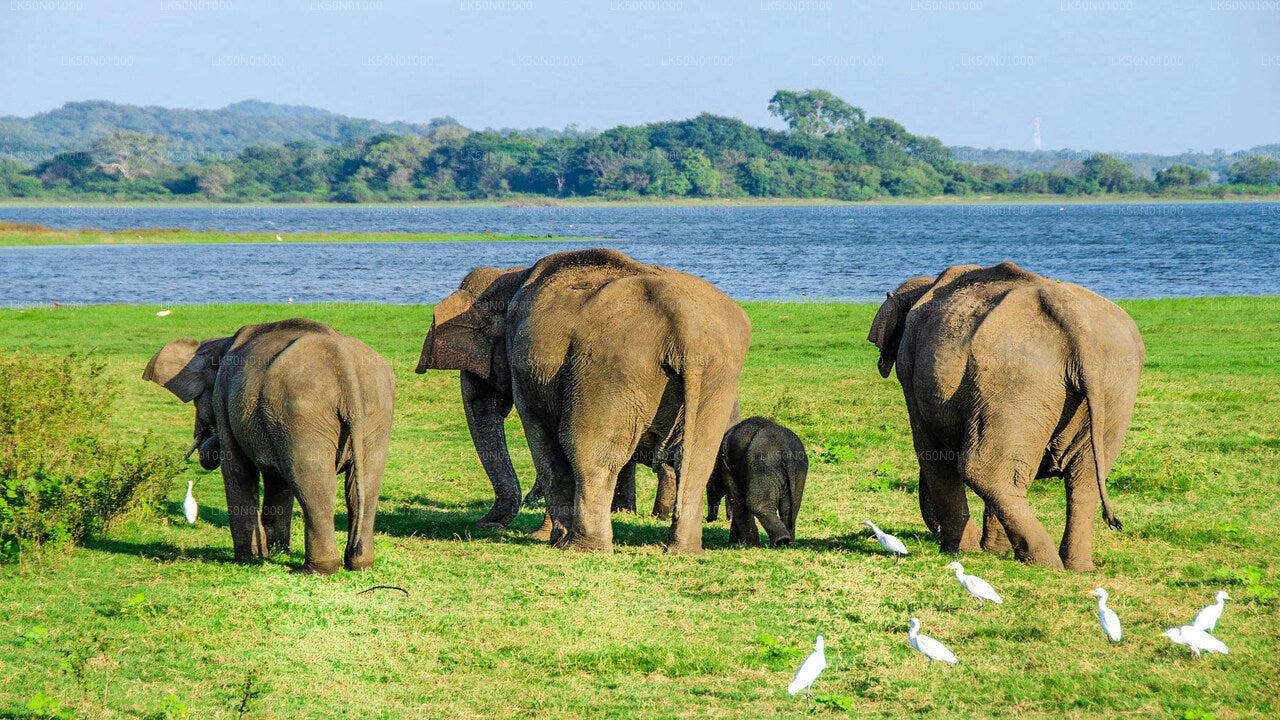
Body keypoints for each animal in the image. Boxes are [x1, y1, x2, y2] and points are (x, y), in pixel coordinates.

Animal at [143, 318, 395, 574]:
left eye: (198, 399)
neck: (220, 343)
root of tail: (345, 364)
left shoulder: (225, 399)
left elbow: (237, 470)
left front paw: (248, 558)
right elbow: (279, 481)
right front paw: (277, 552)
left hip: (302, 412)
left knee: (314, 485)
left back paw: (313, 570)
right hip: (376, 410)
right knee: (363, 486)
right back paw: (360, 564)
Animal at [416, 248, 750, 554]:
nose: (486, 525)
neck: (511, 274)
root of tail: (685, 326)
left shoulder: (524, 370)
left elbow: (542, 440)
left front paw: (548, 537)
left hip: (609, 368)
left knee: (588, 451)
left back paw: (581, 547)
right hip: (717, 374)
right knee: (697, 459)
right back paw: (684, 551)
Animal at [705, 417, 808, 547]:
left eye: (708, 484)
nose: (708, 519)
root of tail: (787, 453)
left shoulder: (727, 467)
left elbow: (738, 499)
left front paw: (746, 545)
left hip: (764, 467)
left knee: (757, 505)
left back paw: (780, 541)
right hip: (799, 469)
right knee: (790, 508)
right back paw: (787, 543)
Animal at [868, 262, 1144, 571]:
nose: (932, 529)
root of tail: (1075, 320)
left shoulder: (909, 369)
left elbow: (931, 452)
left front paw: (962, 552)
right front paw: (993, 551)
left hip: (1014, 380)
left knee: (983, 470)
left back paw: (1045, 563)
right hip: (1113, 385)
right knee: (1084, 478)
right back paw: (1076, 567)